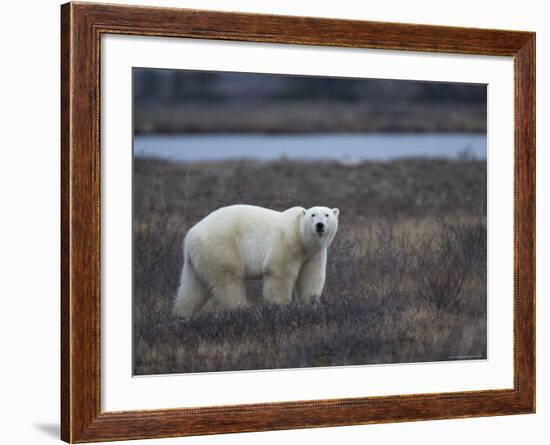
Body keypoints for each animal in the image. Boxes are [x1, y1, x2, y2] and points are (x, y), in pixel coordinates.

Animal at [175, 205, 340, 316]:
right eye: (313, 215)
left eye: (327, 215)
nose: (320, 225)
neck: (301, 238)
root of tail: (189, 236)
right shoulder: (286, 241)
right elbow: (278, 271)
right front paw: (281, 306)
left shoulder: (314, 255)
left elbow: (311, 278)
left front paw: (311, 304)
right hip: (219, 247)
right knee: (229, 281)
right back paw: (242, 309)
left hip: (196, 260)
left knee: (192, 289)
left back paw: (182, 314)